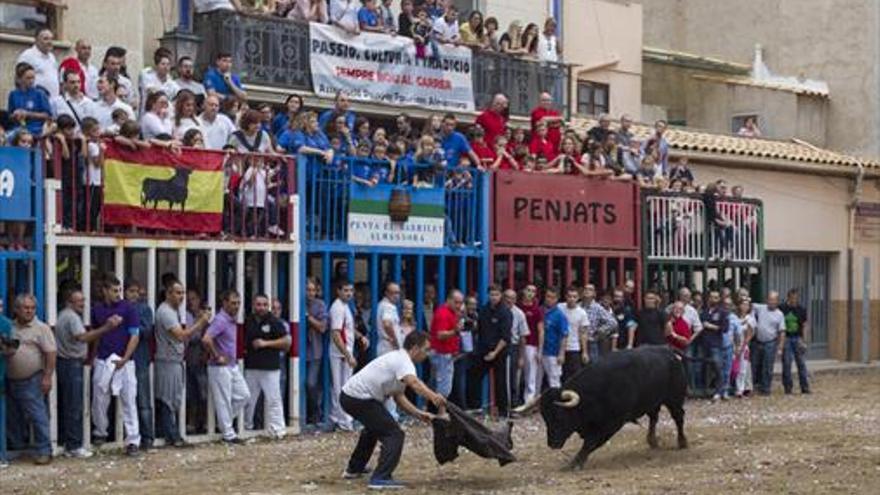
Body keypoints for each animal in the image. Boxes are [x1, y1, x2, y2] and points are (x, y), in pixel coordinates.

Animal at [512, 344, 692, 468]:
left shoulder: (611, 424)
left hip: (674, 399)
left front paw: (575, 463)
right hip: (652, 401)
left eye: (559, 415)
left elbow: (590, 443)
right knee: (654, 417)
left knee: (678, 418)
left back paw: (682, 442)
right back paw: (652, 441)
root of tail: (668, 350)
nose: (552, 443)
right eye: (545, 417)